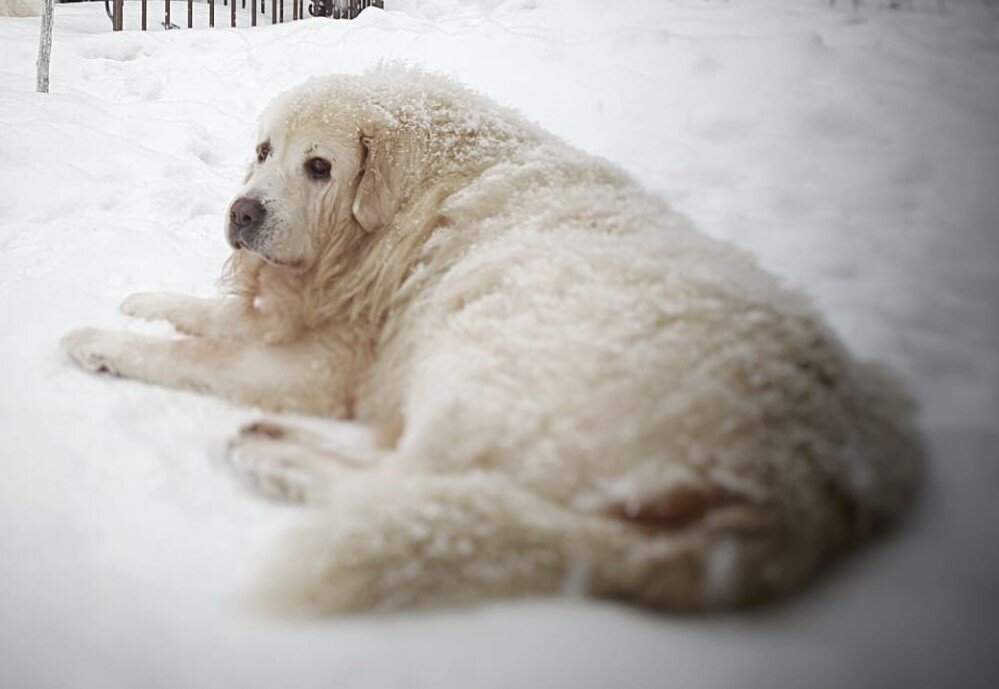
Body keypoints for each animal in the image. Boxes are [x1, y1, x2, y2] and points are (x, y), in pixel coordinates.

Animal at [60, 66, 920, 612]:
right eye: (263, 152)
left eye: (319, 166)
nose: (242, 212)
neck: (403, 202)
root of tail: (814, 474)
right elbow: (205, 315)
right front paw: (146, 298)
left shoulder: (319, 366)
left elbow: (192, 353)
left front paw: (98, 336)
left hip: (488, 340)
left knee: (416, 485)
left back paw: (276, 457)